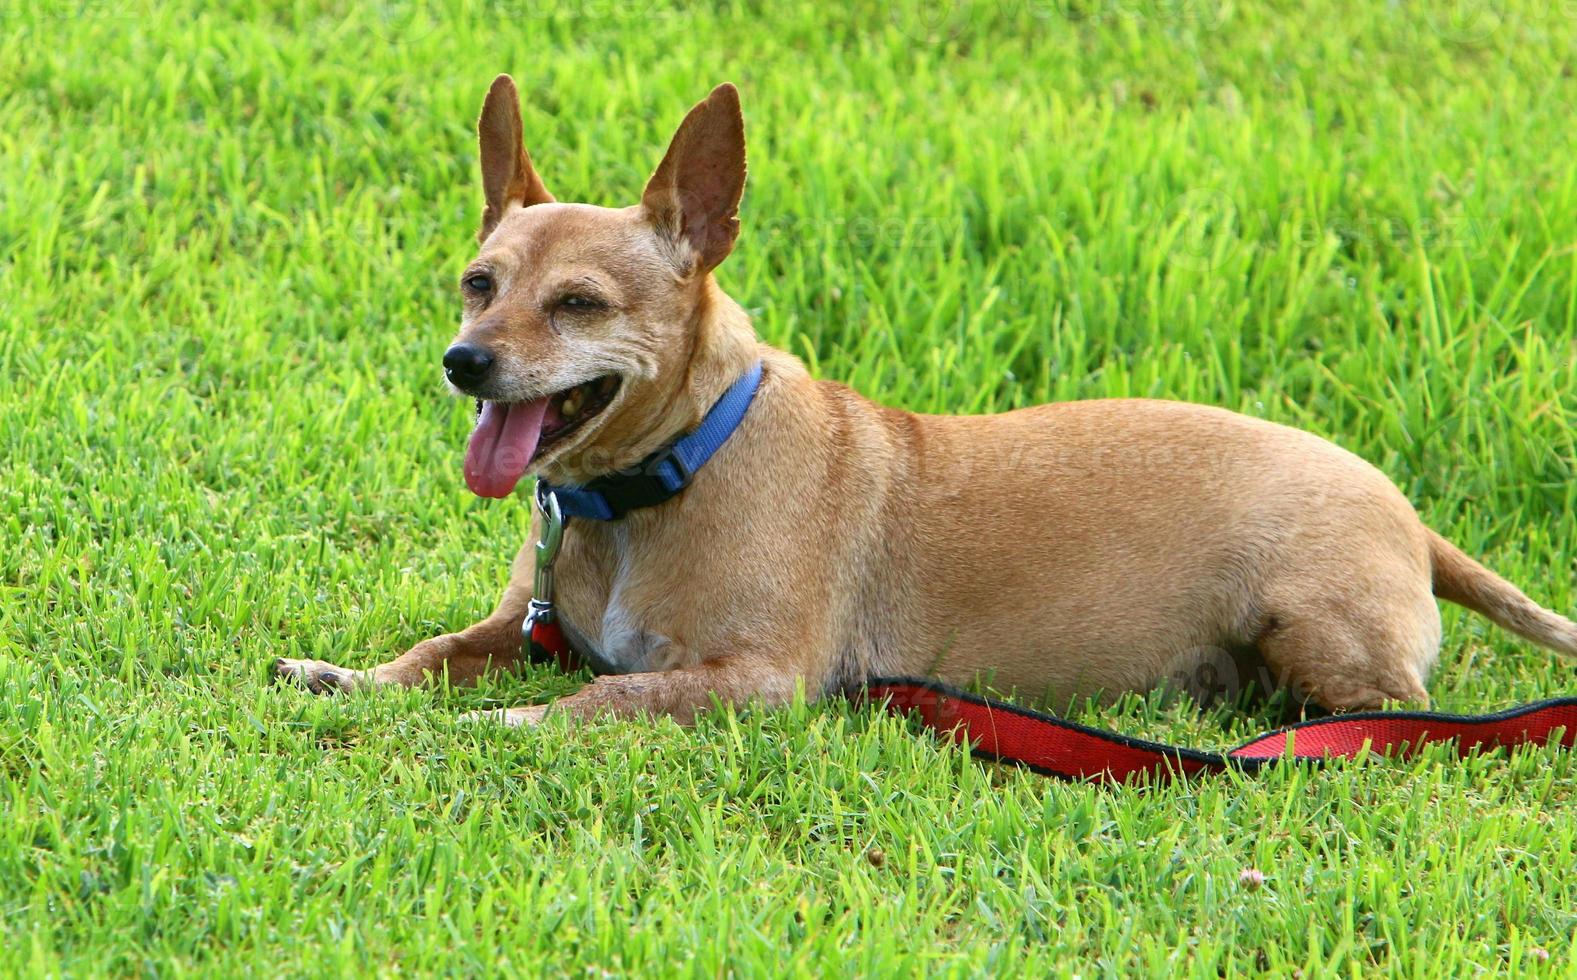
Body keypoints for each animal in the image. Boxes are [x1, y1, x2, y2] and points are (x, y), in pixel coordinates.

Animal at [277, 76, 1570, 722]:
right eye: (478, 283)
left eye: (580, 304)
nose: (465, 360)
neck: (655, 483)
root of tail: (1409, 516)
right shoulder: (516, 629)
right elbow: (432, 650)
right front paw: (352, 687)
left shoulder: (753, 681)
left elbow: (600, 699)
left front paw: (487, 729)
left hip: (1314, 630)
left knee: (1398, 718)